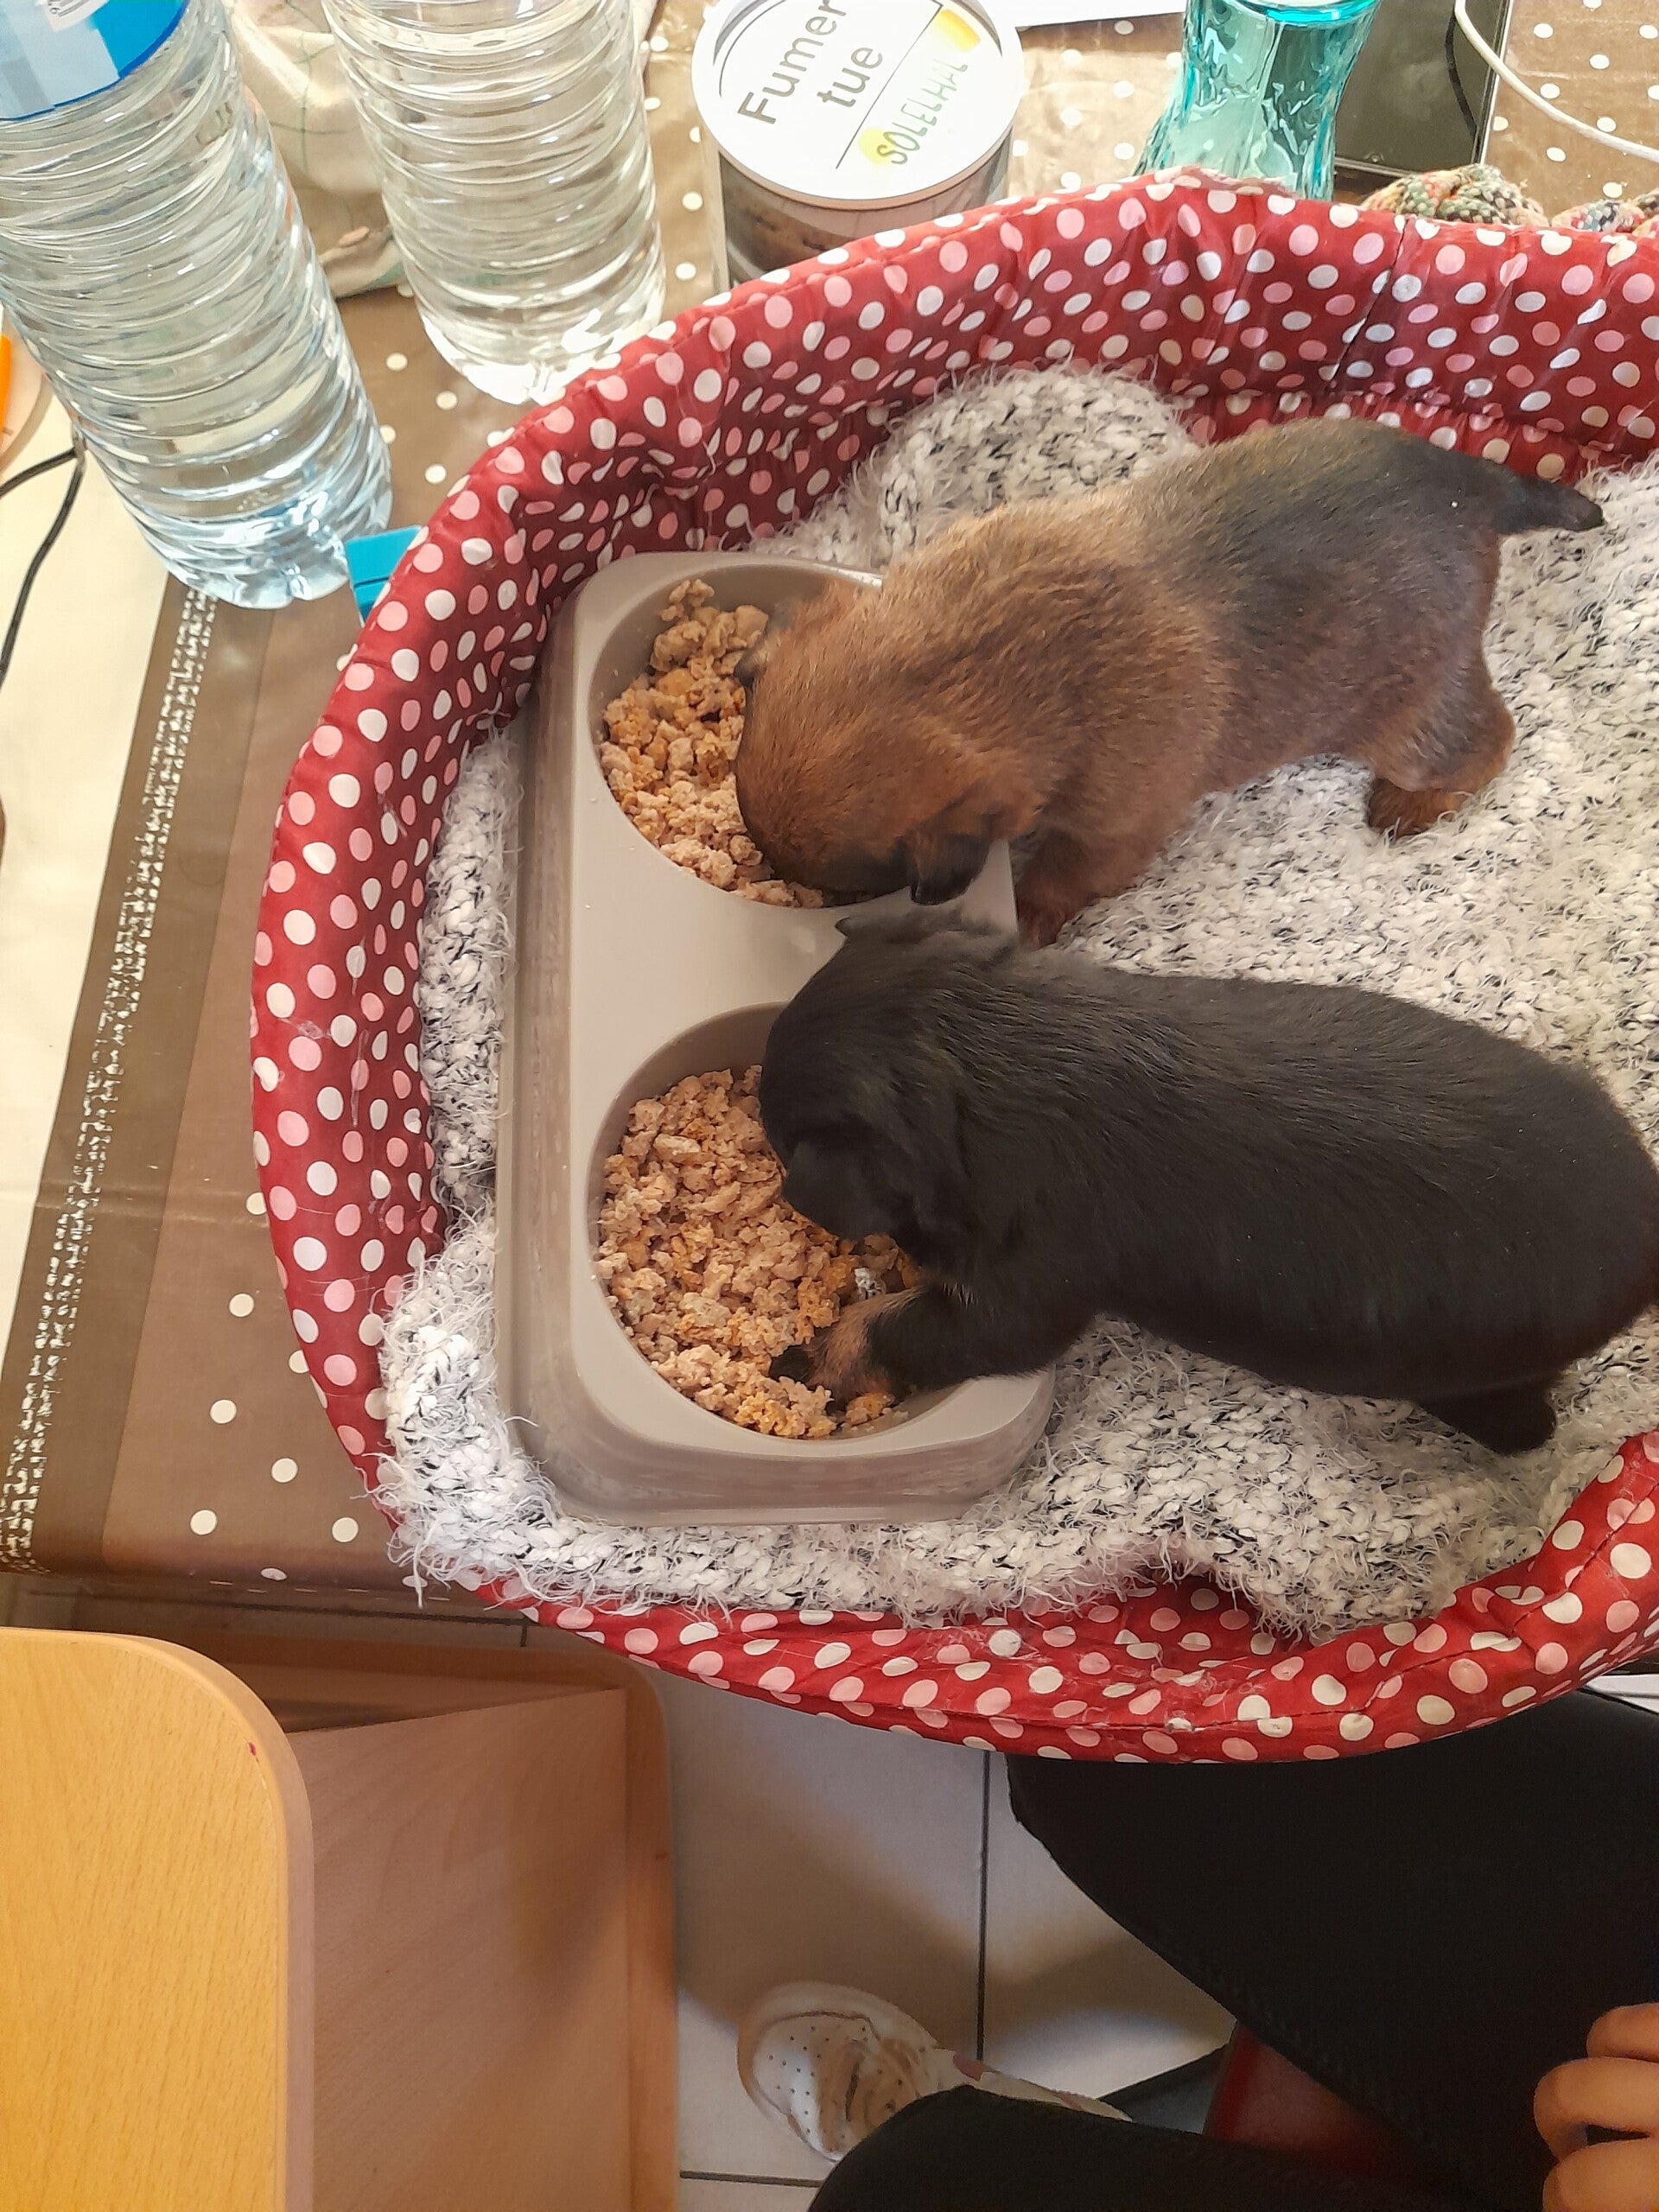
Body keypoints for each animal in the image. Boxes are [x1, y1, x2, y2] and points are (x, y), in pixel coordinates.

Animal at [734, 418, 1602, 944]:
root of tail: (1479, 487)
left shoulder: (1115, 831)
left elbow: (1061, 877)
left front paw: (1036, 918)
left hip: (1413, 724)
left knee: (1491, 739)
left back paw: (1414, 804)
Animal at [759, 917, 1659, 1453]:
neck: (994, 1051)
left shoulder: (1027, 1290)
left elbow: (882, 1326)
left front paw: (799, 1362)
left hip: (1481, 1366)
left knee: (1526, 1425)